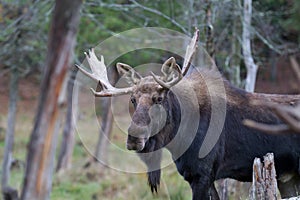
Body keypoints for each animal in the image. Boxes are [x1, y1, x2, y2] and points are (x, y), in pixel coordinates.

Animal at [77, 31, 300, 200]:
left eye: (159, 98)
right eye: (132, 99)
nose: (134, 138)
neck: (178, 137)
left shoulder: (202, 174)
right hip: (287, 176)